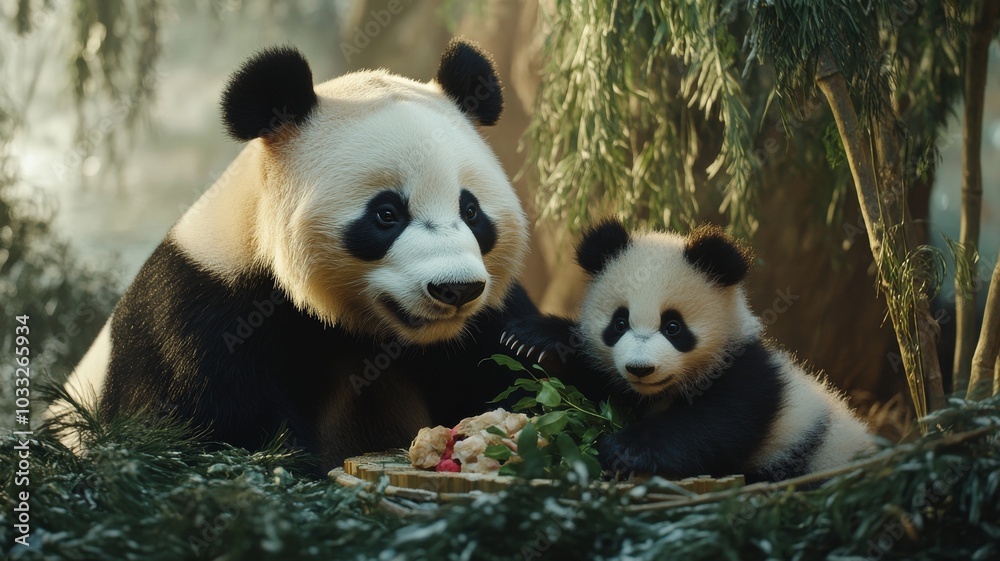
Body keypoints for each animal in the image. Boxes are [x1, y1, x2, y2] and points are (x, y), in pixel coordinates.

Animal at [47, 39, 539, 474]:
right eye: (386, 214)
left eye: (471, 211)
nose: (457, 289)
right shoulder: (203, 317)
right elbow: (214, 433)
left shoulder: (476, 327)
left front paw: (532, 344)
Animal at [503, 218, 875, 482]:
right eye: (619, 323)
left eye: (673, 327)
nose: (640, 369)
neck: (662, 391)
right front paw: (534, 341)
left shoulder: (747, 375)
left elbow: (715, 424)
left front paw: (624, 449)